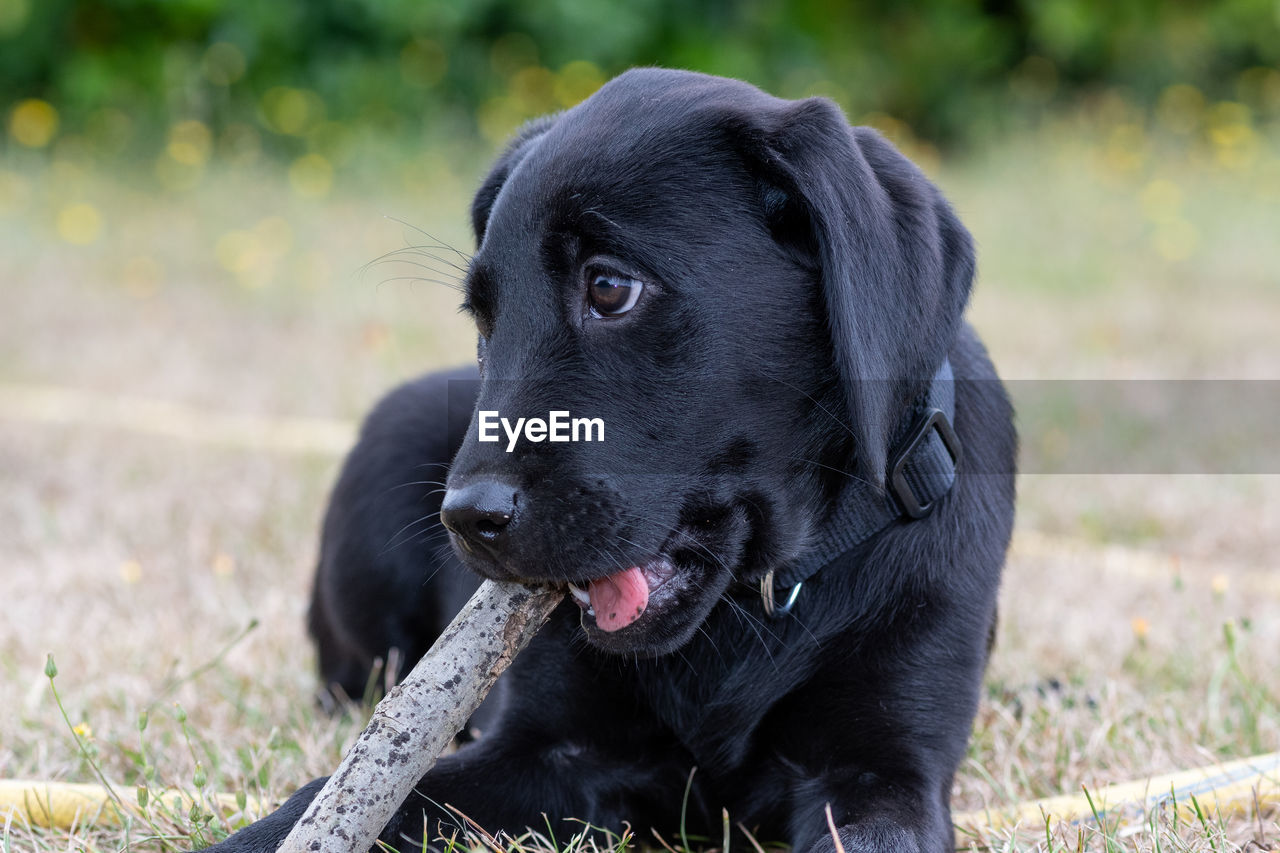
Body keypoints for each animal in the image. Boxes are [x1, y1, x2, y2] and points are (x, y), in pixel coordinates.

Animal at [204, 68, 1013, 850]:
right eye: (483, 315)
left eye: (610, 286)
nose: (465, 519)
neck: (755, 605)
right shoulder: (549, 749)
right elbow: (344, 798)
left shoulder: (883, 771)